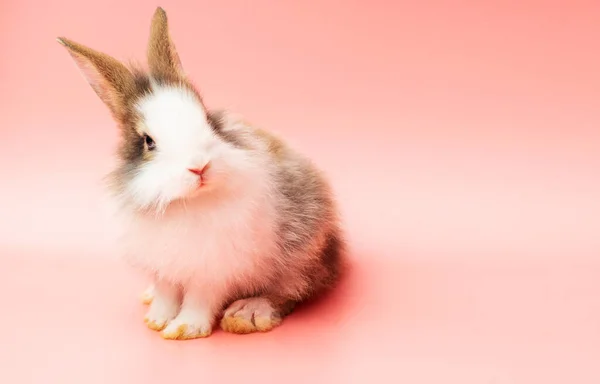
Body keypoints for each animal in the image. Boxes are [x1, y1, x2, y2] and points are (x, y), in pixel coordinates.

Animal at [57, 7, 346, 340]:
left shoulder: (213, 268)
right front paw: (157, 319)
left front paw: (185, 329)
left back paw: (247, 313)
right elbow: (166, 292)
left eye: (207, 120)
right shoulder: (161, 264)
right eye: (148, 141)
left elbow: (200, 297)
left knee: (292, 289)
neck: (187, 202)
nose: (199, 166)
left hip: (301, 255)